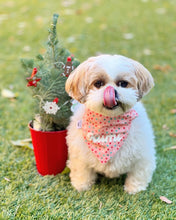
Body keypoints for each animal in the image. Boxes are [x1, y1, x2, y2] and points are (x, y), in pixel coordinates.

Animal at [65, 55, 156, 194]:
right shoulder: (79, 155)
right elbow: (82, 172)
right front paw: (81, 186)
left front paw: (134, 189)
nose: (112, 91)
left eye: (123, 83)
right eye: (98, 83)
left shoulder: (143, 156)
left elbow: (138, 173)